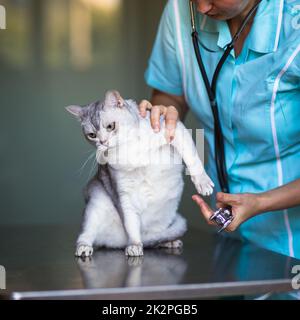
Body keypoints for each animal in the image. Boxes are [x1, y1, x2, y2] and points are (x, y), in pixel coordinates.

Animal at [67, 90, 214, 258]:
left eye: (110, 126)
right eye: (91, 135)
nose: (103, 142)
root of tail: (118, 243)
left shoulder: (176, 130)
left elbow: (192, 159)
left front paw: (202, 182)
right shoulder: (124, 195)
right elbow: (131, 225)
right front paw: (135, 245)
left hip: (165, 216)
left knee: (157, 237)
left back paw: (168, 241)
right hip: (96, 204)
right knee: (86, 235)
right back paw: (85, 247)